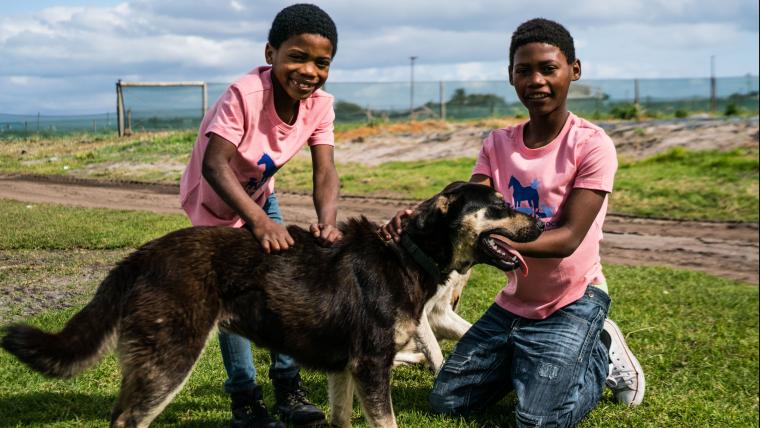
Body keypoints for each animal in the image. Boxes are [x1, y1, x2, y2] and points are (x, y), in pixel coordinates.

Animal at [2, 181, 544, 428]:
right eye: (499, 206)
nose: (542, 222)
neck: (410, 252)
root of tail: (142, 254)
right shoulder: (372, 366)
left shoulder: (346, 370)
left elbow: (344, 419)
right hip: (170, 359)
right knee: (126, 420)